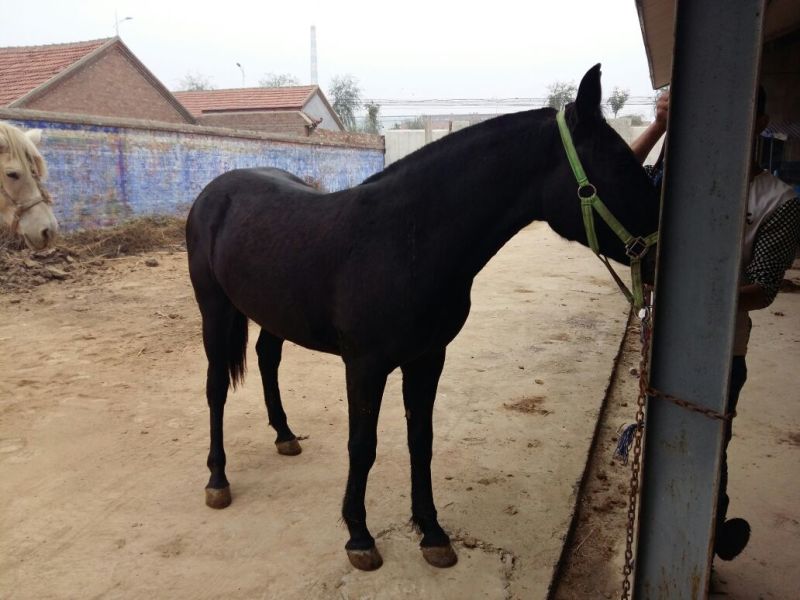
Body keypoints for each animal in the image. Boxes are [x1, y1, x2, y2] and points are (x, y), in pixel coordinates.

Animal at [185, 64, 660, 571]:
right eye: (623, 166)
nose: (659, 255)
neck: (408, 239)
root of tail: (214, 192)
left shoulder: (428, 358)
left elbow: (422, 440)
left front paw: (431, 531)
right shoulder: (365, 366)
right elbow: (363, 446)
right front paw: (359, 536)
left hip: (274, 315)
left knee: (266, 359)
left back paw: (285, 434)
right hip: (214, 310)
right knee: (216, 388)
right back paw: (217, 480)